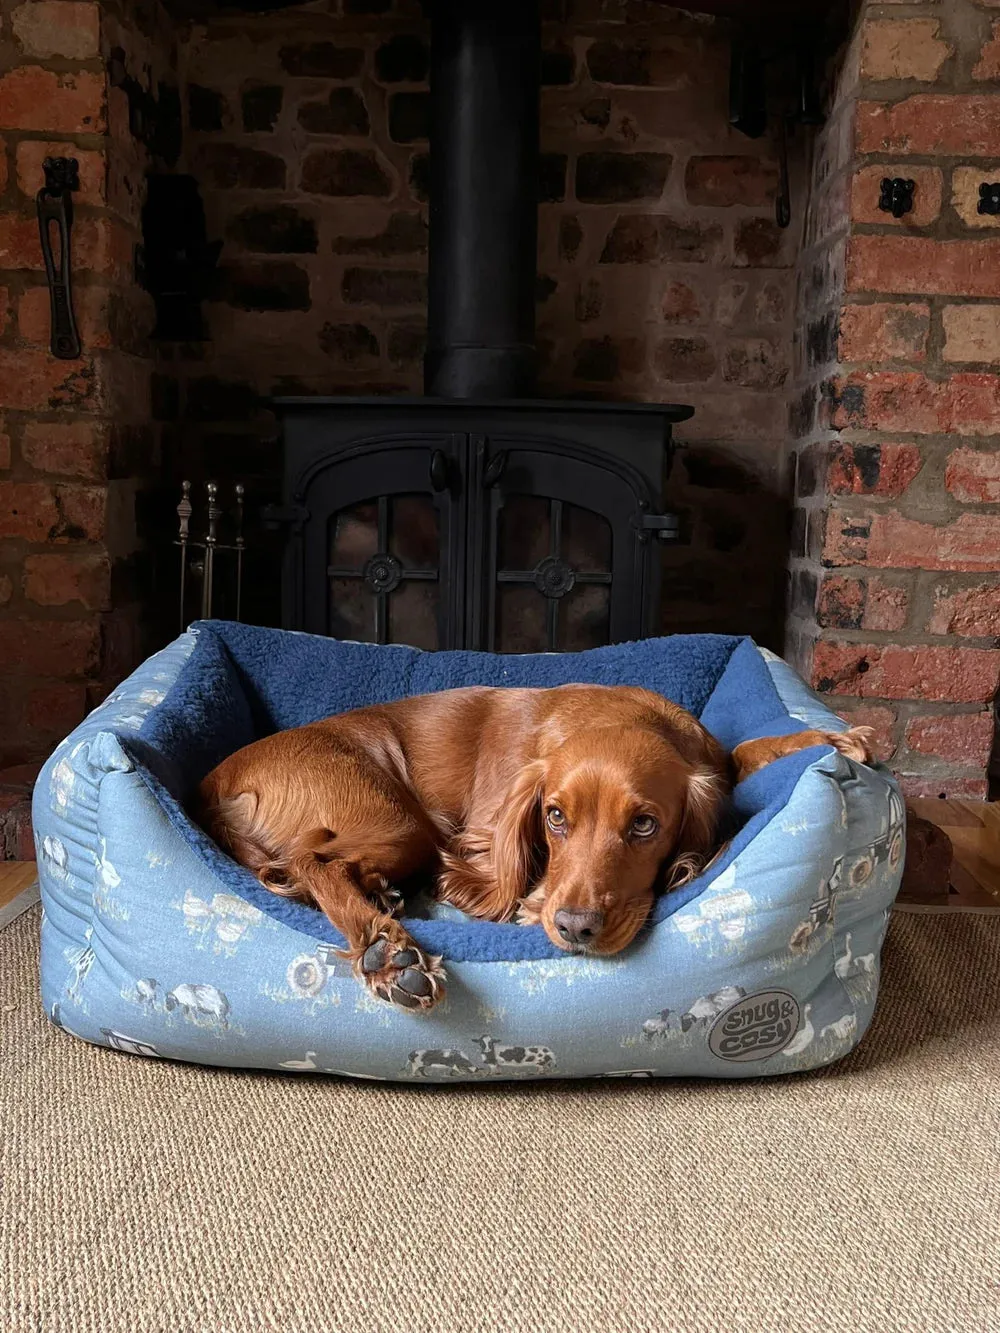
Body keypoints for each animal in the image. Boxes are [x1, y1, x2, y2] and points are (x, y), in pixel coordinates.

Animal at [193, 687, 869, 1007]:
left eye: (644, 825)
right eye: (555, 817)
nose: (573, 927)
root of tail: (214, 782)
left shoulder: (713, 760)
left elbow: (747, 749)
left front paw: (834, 739)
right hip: (396, 821)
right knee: (315, 861)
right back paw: (387, 951)